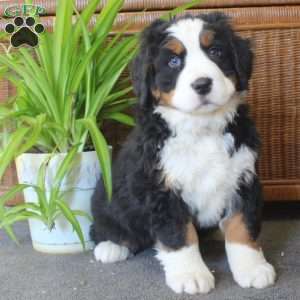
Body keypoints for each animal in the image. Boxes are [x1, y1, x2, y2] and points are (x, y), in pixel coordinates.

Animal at [90, 12, 276, 294]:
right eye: (174, 61)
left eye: (216, 52)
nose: (202, 84)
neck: (201, 127)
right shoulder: (161, 188)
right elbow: (180, 235)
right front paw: (191, 275)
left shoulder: (243, 177)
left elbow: (242, 227)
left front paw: (252, 268)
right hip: (106, 194)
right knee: (102, 225)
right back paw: (111, 246)